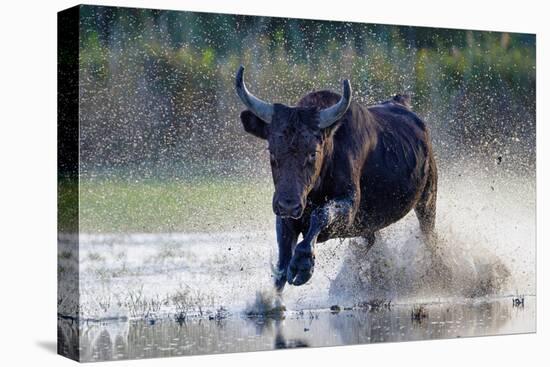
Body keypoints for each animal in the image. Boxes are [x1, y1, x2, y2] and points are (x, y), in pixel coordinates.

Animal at [235, 66, 438, 294]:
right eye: (272, 151)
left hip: (427, 199)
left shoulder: (348, 207)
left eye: (312, 153)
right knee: (370, 240)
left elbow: (321, 215)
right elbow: (281, 264)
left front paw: (303, 265)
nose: (288, 205)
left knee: (429, 235)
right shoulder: (286, 216)